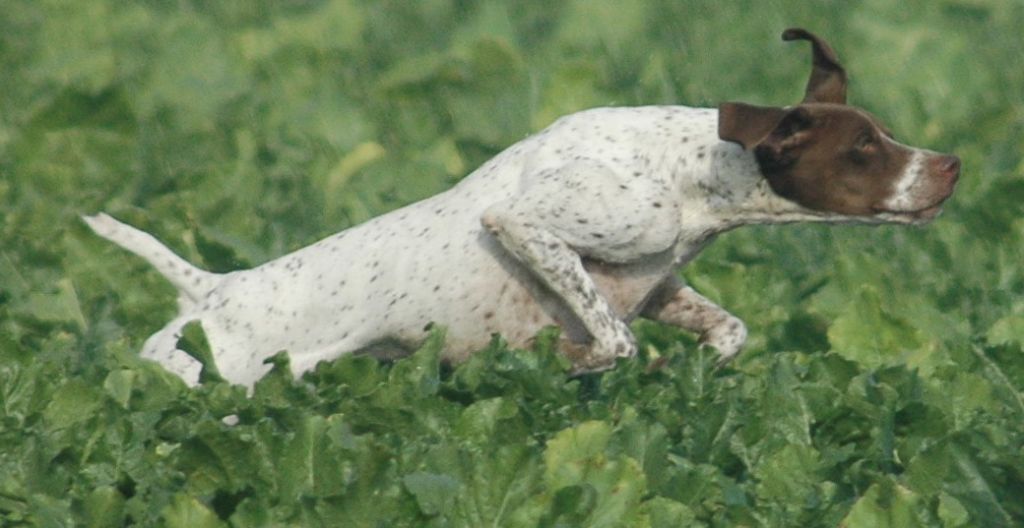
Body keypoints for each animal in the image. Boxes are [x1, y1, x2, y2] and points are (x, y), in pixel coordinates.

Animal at [85, 29, 960, 388]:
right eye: (864, 148)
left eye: (882, 134)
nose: (950, 167)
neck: (688, 174)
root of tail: (211, 291)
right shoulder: (530, 228)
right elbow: (612, 342)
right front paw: (573, 361)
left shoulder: (661, 283)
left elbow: (725, 332)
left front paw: (689, 372)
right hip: (225, 386)